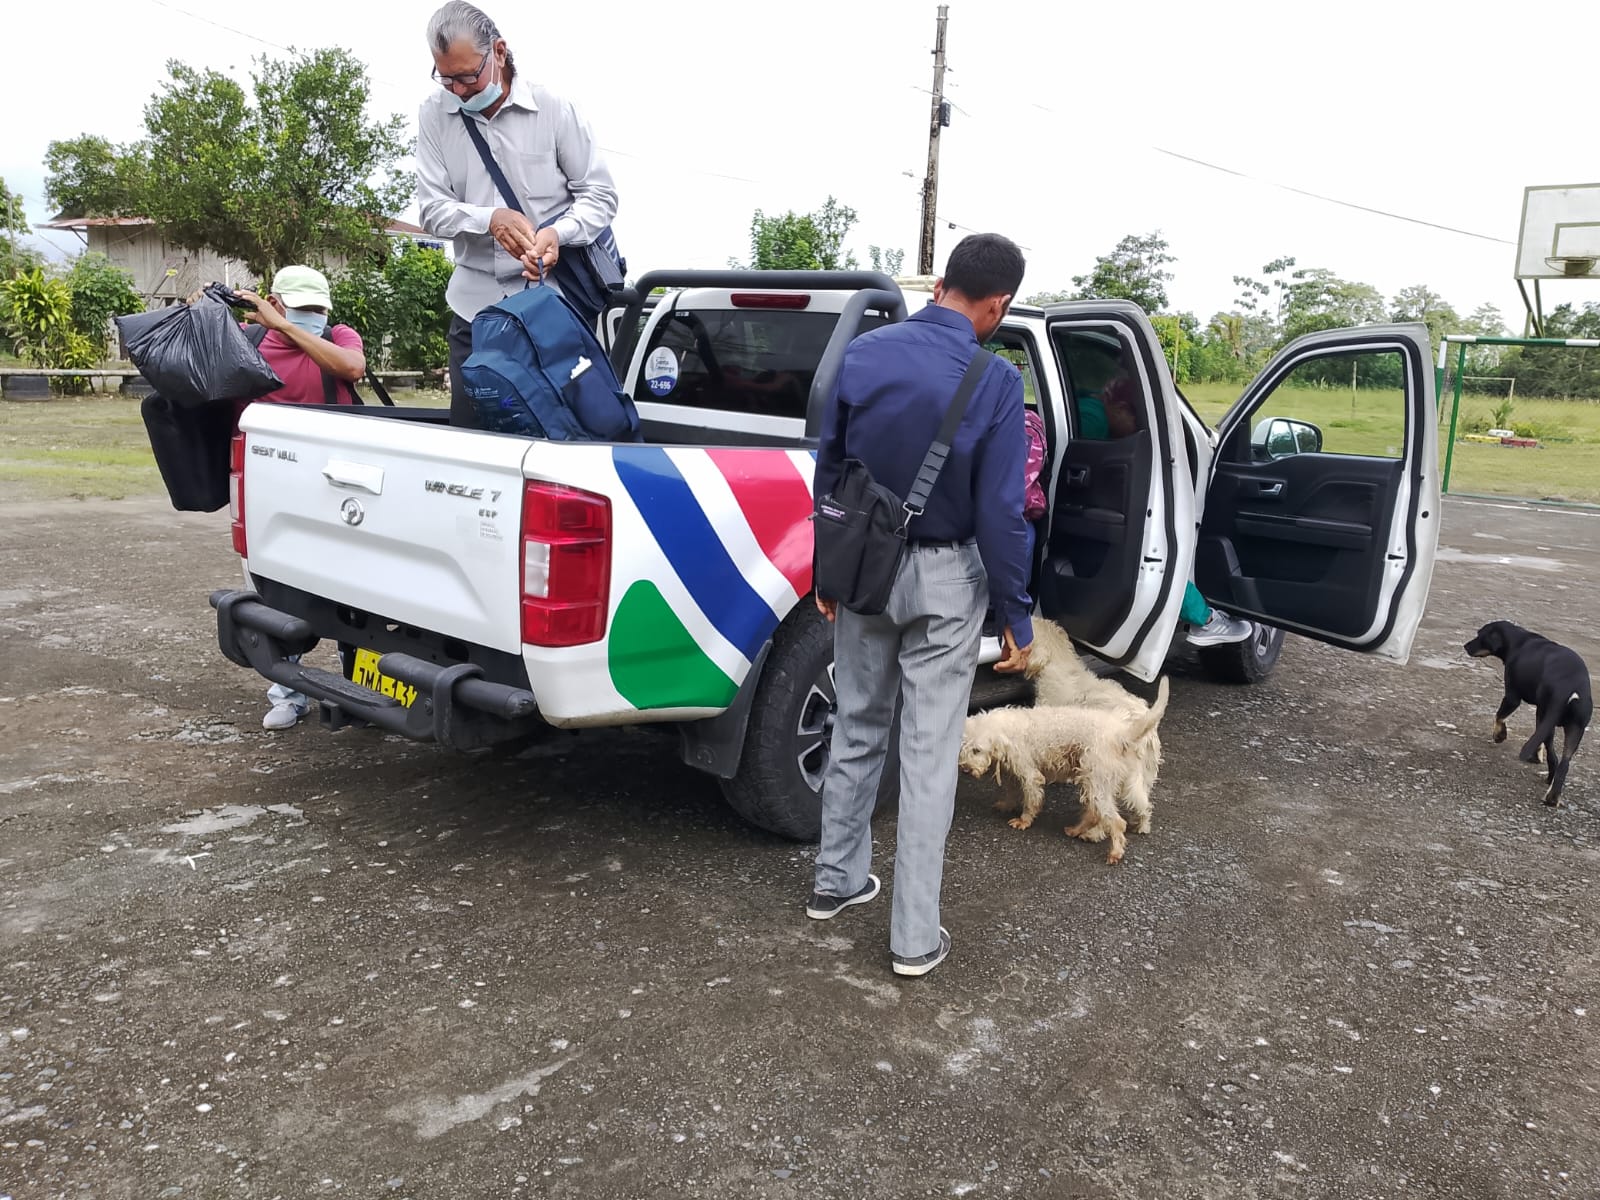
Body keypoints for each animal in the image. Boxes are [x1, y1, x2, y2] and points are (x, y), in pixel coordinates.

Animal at [958, 678, 1170, 864]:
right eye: (962, 749)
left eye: (977, 750)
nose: (966, 770)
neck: (1004, 730)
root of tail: (1120, 734)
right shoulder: (1012, 771)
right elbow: (1010, 791)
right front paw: (1006, 804)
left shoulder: (1030, 774)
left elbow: (1031, 800)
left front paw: (1024, 821)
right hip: (1112, 781)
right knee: (1130, 805)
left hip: (1096, 781)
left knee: (1116, 821)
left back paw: (1114, 851)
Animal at [1464, 620, 1592, 807]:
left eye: (1480, 635)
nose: (1465, 646)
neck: (1517, 640)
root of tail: (1570, 686)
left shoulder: (1512, 697)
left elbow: (1499, 716)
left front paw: (1499, 735)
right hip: (1574, 728)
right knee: (1563, 763)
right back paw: (1552, 796)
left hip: (1545, 715)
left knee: (1553, 756)